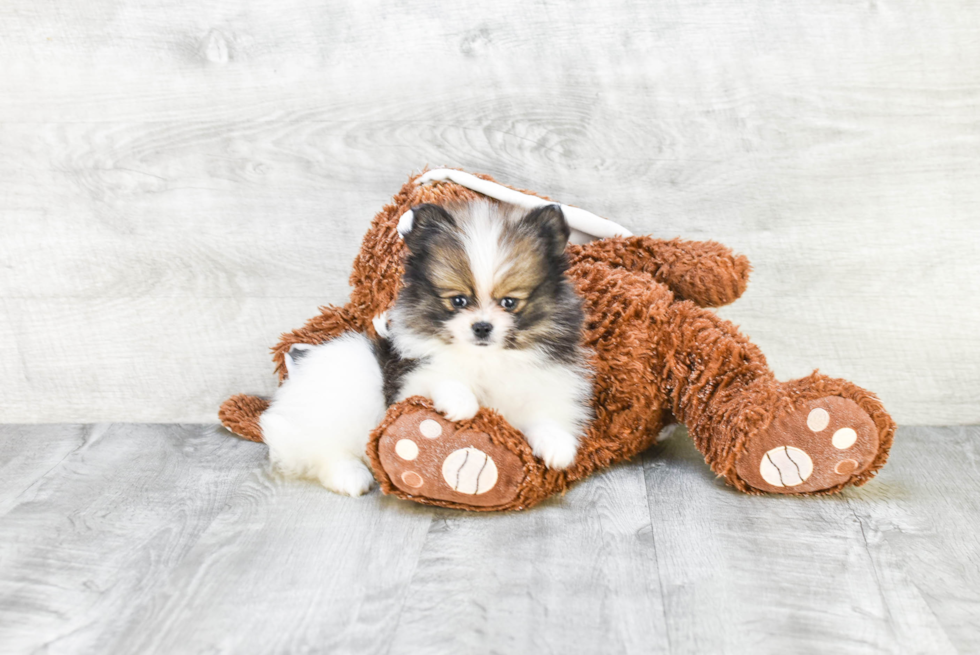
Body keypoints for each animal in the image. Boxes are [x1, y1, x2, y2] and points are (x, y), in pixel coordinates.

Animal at [260, 200, 592, 498]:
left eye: (509, 302)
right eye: (458, 300)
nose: (482, 327)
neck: (486, 357)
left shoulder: (541, 387)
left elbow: (545, 416)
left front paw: (558, 446)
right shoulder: (411, 381)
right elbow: (442, 378)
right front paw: (462, 403)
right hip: (336, 406)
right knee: (317, 448)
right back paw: (351, 476)